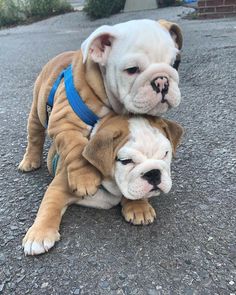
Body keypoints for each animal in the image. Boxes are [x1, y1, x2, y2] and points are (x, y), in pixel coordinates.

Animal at [18, 18, 183, 199]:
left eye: (176, 63)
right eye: (132, 70)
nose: (162, 81)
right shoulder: (65, 124)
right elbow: (76, 149)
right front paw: (85, 180)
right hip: (37, 109)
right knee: (34, 134)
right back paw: (30, 161)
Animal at [22, 115, 184, 256]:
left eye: (165, 153)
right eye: (125, 161)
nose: (153, 173)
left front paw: (139, 207)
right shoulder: (60, 187)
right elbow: (49, 208)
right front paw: (39, 235)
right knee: (34, 134)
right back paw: (29, 161)